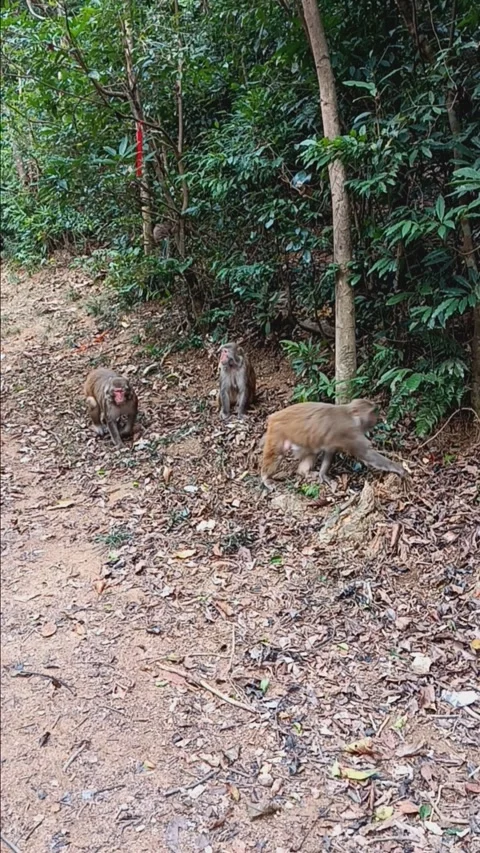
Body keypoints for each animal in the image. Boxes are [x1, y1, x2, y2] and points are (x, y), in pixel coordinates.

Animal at [260, 398, 406, 490]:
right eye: (371, 412)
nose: (376, 419)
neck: (351, 416)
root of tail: (274, 416)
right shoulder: (350, 432)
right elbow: (366, 455)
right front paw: (399, 468)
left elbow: (329, 450)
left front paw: (323, 474)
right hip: (277, 432)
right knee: (277, 455)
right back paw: (265, 478)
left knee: (312, 451)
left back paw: (304, 472)